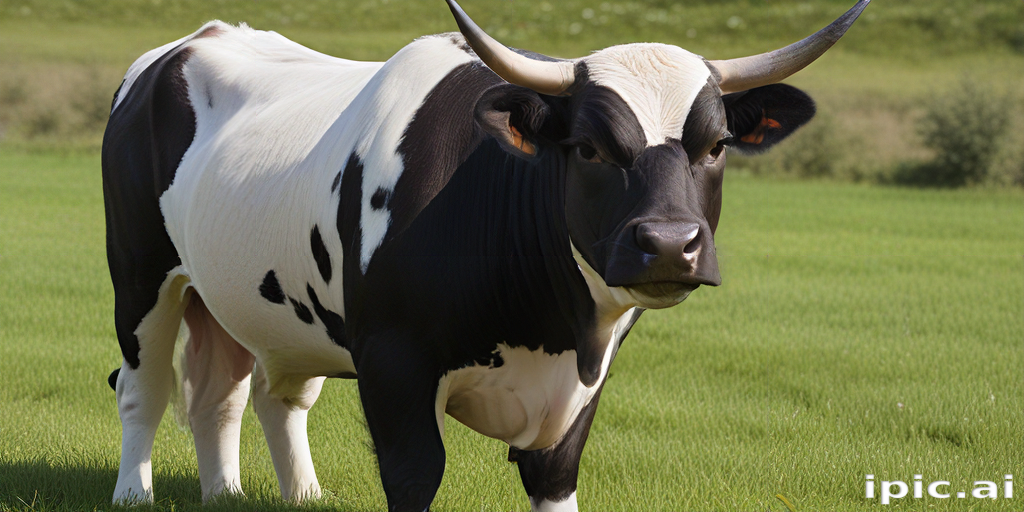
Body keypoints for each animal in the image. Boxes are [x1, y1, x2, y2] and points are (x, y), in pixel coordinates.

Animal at [102, 1, 868, 510]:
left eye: (715, 146)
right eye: (588, 147)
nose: (669, 245)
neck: (550, 328)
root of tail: (198, 38)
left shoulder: (581, 392)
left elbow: (554, 475)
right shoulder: (394, 366)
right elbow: (416, 474)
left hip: (248, 301)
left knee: (244, 397)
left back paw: (261, 493)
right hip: (139, 277)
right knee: (146, 390)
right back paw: (134, 494)